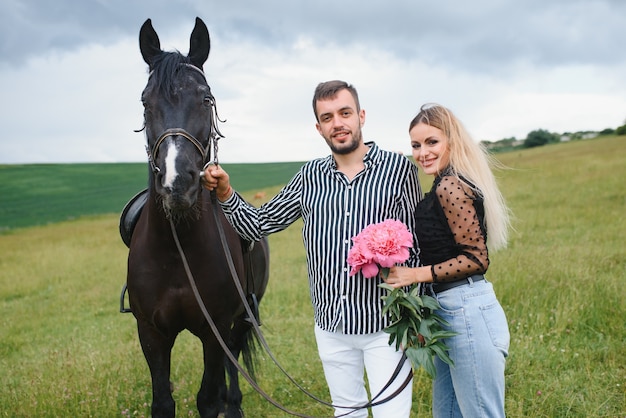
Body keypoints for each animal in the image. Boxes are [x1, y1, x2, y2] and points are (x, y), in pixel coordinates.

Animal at [124, 17, 268, 418]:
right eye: (145, 102)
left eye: (205, 98)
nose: (177, 183)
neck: (178, 251)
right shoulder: (151, 334)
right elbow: (162, 401)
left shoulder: (215, 328)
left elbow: (208, 398)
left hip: (240, 321)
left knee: (232, 363)